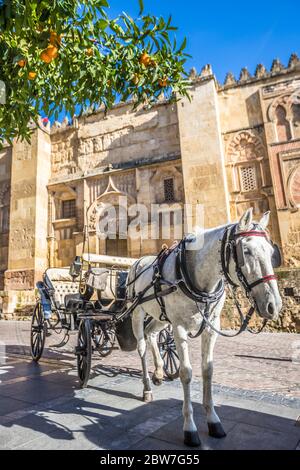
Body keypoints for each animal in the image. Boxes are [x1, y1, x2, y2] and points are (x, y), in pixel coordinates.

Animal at [126, 209, 282, 448]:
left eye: (271, 251)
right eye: (245, 251)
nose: (273, 305)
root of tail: (139, 261)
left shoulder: (211, 326)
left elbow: (208, 370)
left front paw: (213, 420)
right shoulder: (179, 326)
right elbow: (186, 373)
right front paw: (189, 428)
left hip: (160, 317)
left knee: (152, 334)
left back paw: (160, 372)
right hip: (137, 312)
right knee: (142, 346)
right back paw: (147, 388)